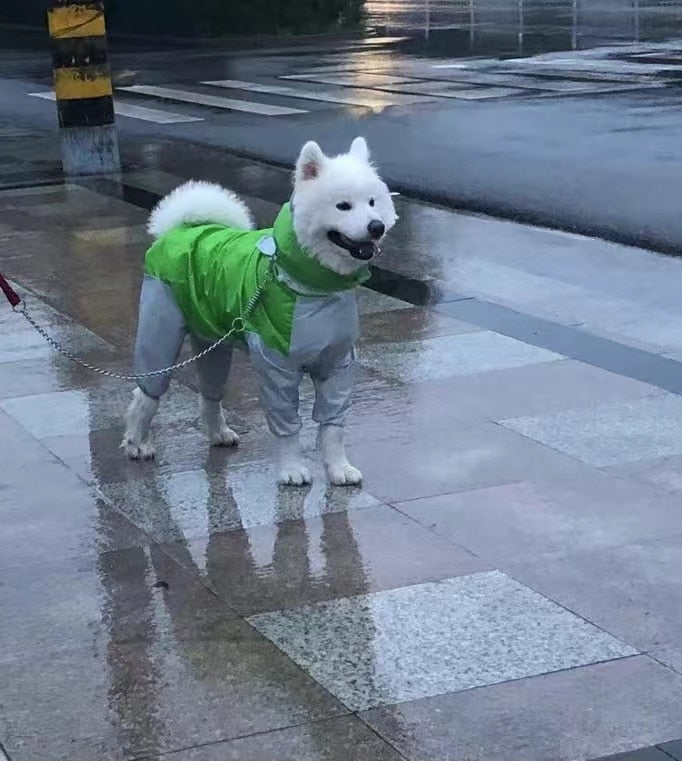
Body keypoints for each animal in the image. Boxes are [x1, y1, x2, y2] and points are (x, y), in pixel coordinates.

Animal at [120, 135, 396, 486]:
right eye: (343, 206)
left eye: (373, 202)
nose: (376, 227)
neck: (313, 289)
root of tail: (180, 228)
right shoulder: (275, 363)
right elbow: (287, 424)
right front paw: (292, 469)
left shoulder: (338, 362)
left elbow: (333, 426)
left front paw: (338, 468)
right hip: (161, 330)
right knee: (145, 394)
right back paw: (136, 442)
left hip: (213, 341)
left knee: (210, 392)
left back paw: (218, 433)